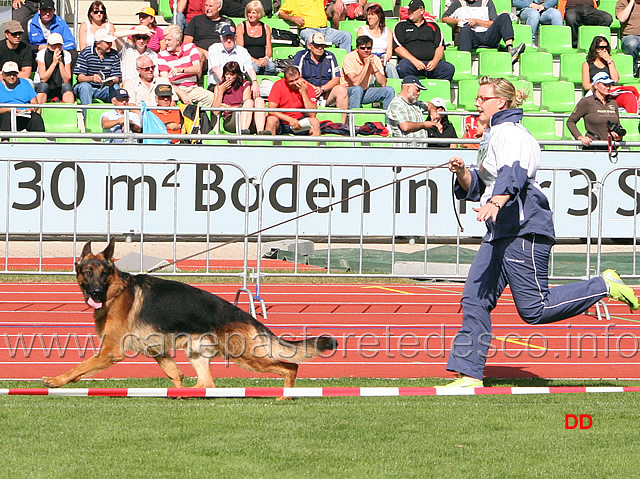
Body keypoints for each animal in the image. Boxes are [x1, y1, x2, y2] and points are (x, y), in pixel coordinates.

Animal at [42, 238, 338, 392]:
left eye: (104, 273)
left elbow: (80, 367)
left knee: (291, 367)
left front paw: (56, 380)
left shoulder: (110, 352)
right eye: (87, 272)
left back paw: (285, 395)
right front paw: (177, 389)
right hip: (197, 352)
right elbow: (174, 373)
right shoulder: (157, 349)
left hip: (245, 356)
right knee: (208, 383)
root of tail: (249, 317)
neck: (116, 290)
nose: (95, 292)